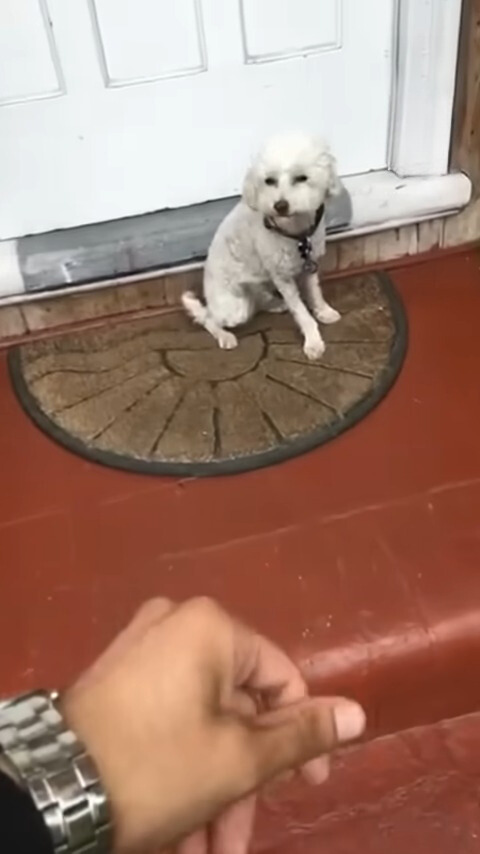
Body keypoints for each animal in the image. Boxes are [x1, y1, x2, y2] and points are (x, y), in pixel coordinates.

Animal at [181, 132, 342, 360]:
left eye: (301, 178)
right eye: (269, 181)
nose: (280, 205)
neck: (296, 231)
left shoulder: (310, 266)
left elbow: (315, 293)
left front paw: (324, 312)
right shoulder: (282, 277)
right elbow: (301, 312)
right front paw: (313, 341)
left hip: (259, 284)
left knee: (258, 301)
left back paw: (274, 304)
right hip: (234, 308)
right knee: (209, 319)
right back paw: (225, 336)